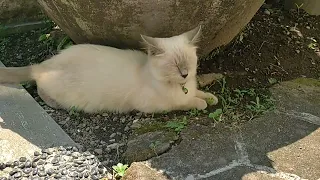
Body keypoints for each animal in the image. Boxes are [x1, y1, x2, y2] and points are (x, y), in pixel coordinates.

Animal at [0, 25, 218, 112]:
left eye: (188, 62)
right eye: (174, 65)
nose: (185, 74)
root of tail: (46, 64)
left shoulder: (190, 89)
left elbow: (200, 94)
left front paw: (211, 98)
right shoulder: (156, 106)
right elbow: (188, 103)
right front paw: (202, 103)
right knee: (40, 87)